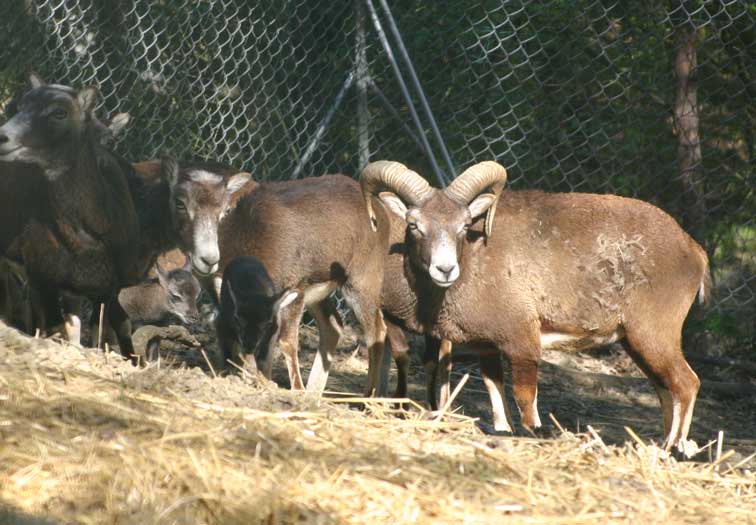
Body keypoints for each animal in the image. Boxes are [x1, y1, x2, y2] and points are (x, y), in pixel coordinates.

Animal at [360, 158, 708, 452]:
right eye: (415, 225)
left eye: (464, 225)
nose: (445, 270)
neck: (474, 263)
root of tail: (694, 251)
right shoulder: (488, 348)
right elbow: (496, 392)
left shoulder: (522, 344)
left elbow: (526, 400)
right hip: (636, 344)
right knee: (666, 391)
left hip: (652, 336)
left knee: (686, 384)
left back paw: (673, 450)